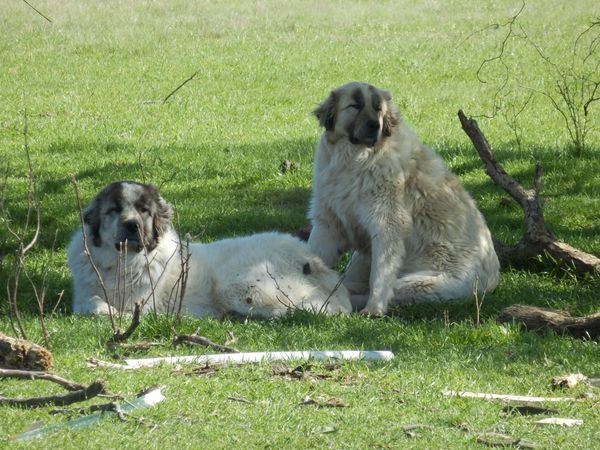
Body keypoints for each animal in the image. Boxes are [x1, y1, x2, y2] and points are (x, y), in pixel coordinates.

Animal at [67, 181, 352, 318]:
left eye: (144, 210)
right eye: (114, 210)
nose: (132, 225)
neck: (121, 263)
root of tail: (312, 260)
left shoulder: (140, 303)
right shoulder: (84, 294)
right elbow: (89, 302)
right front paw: (105, 308)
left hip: (241, 286)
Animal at [308, 81, 500, 314]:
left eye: (378, 109)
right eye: (355, 106)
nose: (375, 125)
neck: (354, 160)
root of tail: (493, 280)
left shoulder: (386, 225)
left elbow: (379, 276)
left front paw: (374, 309)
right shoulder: (329, 225)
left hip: (419, 283)